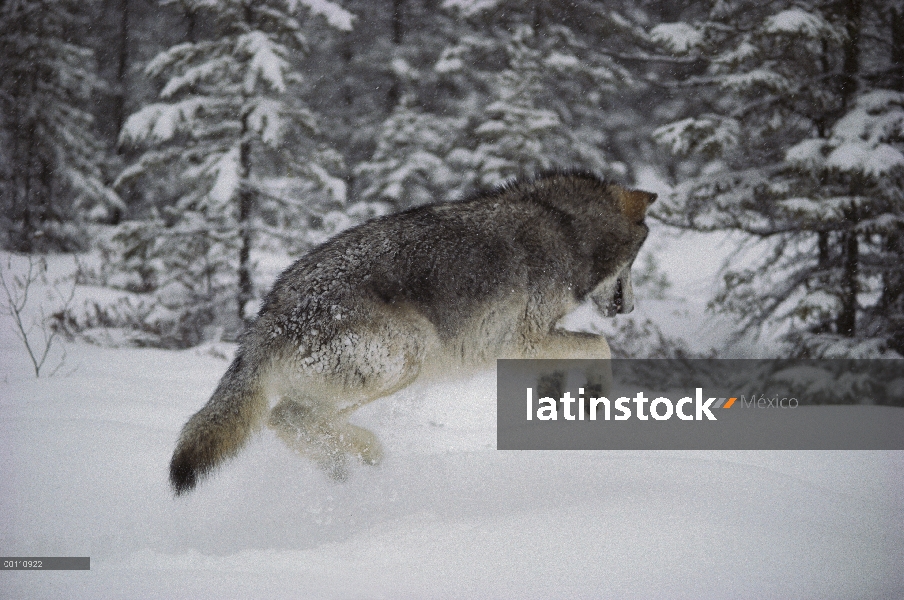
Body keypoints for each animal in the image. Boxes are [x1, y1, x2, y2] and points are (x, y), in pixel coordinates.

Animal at [168, 171, 656, 494]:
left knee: (294, 422)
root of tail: (269, 314)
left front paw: (562, 406)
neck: (565, 228)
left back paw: (342, 467)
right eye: (634, 263)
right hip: (404, 360)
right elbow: (601, 345)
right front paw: (596, 398)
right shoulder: (524, 340)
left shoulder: (529, 346)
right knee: (287, 418)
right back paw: (366, 451)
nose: (630, 307)